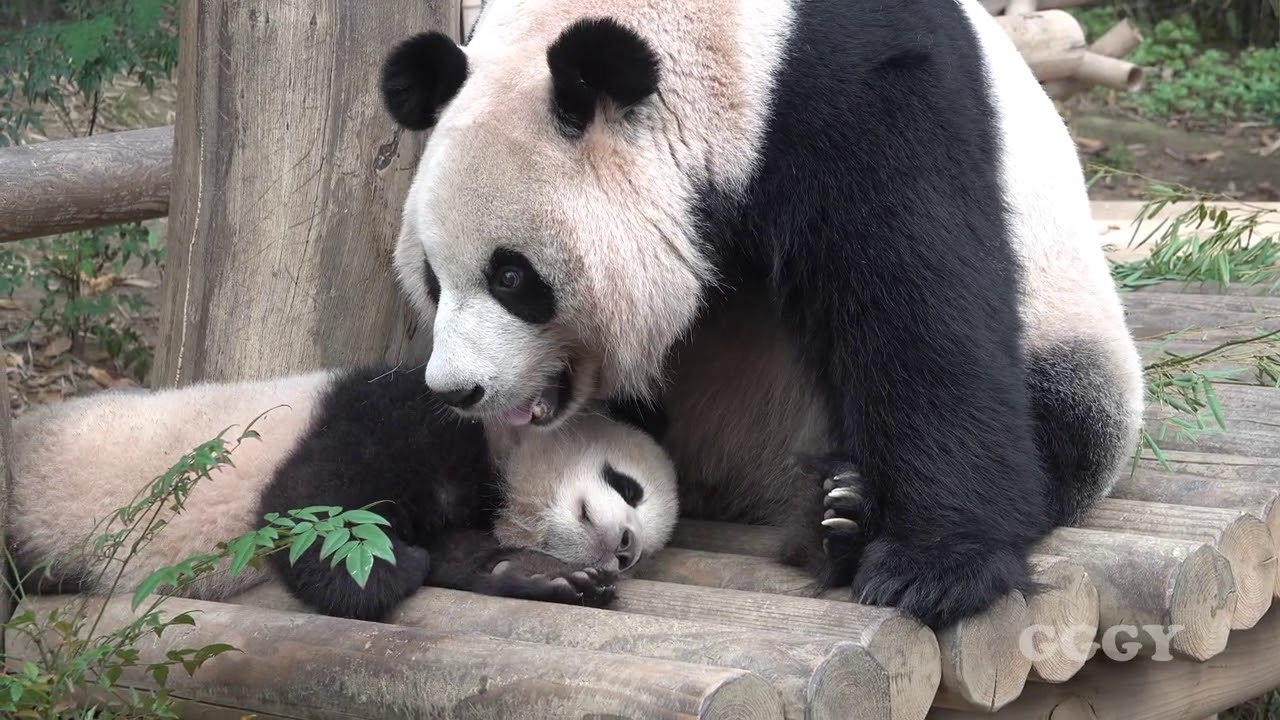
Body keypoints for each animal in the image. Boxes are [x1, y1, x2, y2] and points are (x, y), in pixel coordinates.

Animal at [6, 366, 679, 622]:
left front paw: (551, 579)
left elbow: (464, 555)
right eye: (627, 485)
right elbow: (306, 504)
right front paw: (386, 574)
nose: (625, 547)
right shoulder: (394, 411)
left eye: (643, 554)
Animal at [378, 0, 1145, 629]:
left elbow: (923, 306)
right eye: (433, 280)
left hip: (1073, 332)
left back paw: (842, 517)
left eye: (511, 277)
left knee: (1070, 416)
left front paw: (935, 569)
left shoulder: (861, 94)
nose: (457, 390)